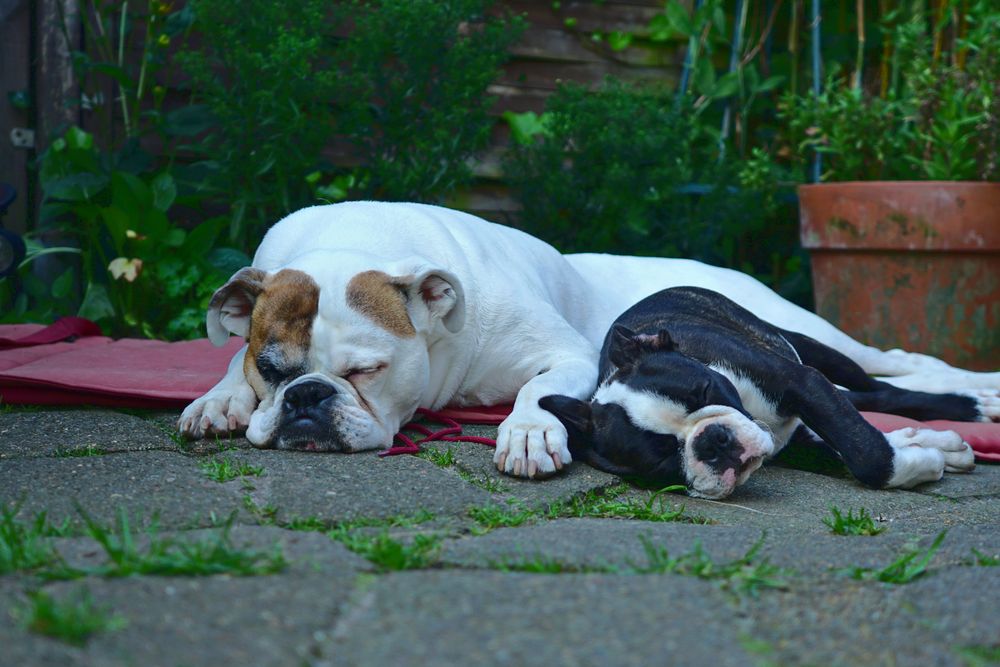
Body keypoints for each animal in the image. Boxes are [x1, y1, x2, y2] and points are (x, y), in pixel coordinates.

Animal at [180, 201, 1000, 478]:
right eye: (273, 368)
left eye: (368, 370)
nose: (307, 400)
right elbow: (224, 361)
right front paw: (219, 399)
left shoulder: (565, 355)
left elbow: (540, 392)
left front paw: (528, 432)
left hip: (808, 331)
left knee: (895, 365)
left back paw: (979, 395)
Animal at [540, 288, 976, 500]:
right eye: (661, 457)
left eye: (706, 389)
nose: (715, 440)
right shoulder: (802, 441)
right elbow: (852, 448)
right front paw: (924, 458)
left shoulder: (804, 382)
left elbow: (864, 451)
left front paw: (916, 462)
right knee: (861, 404)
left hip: (811, 347)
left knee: (879, 389)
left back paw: (970, 405)